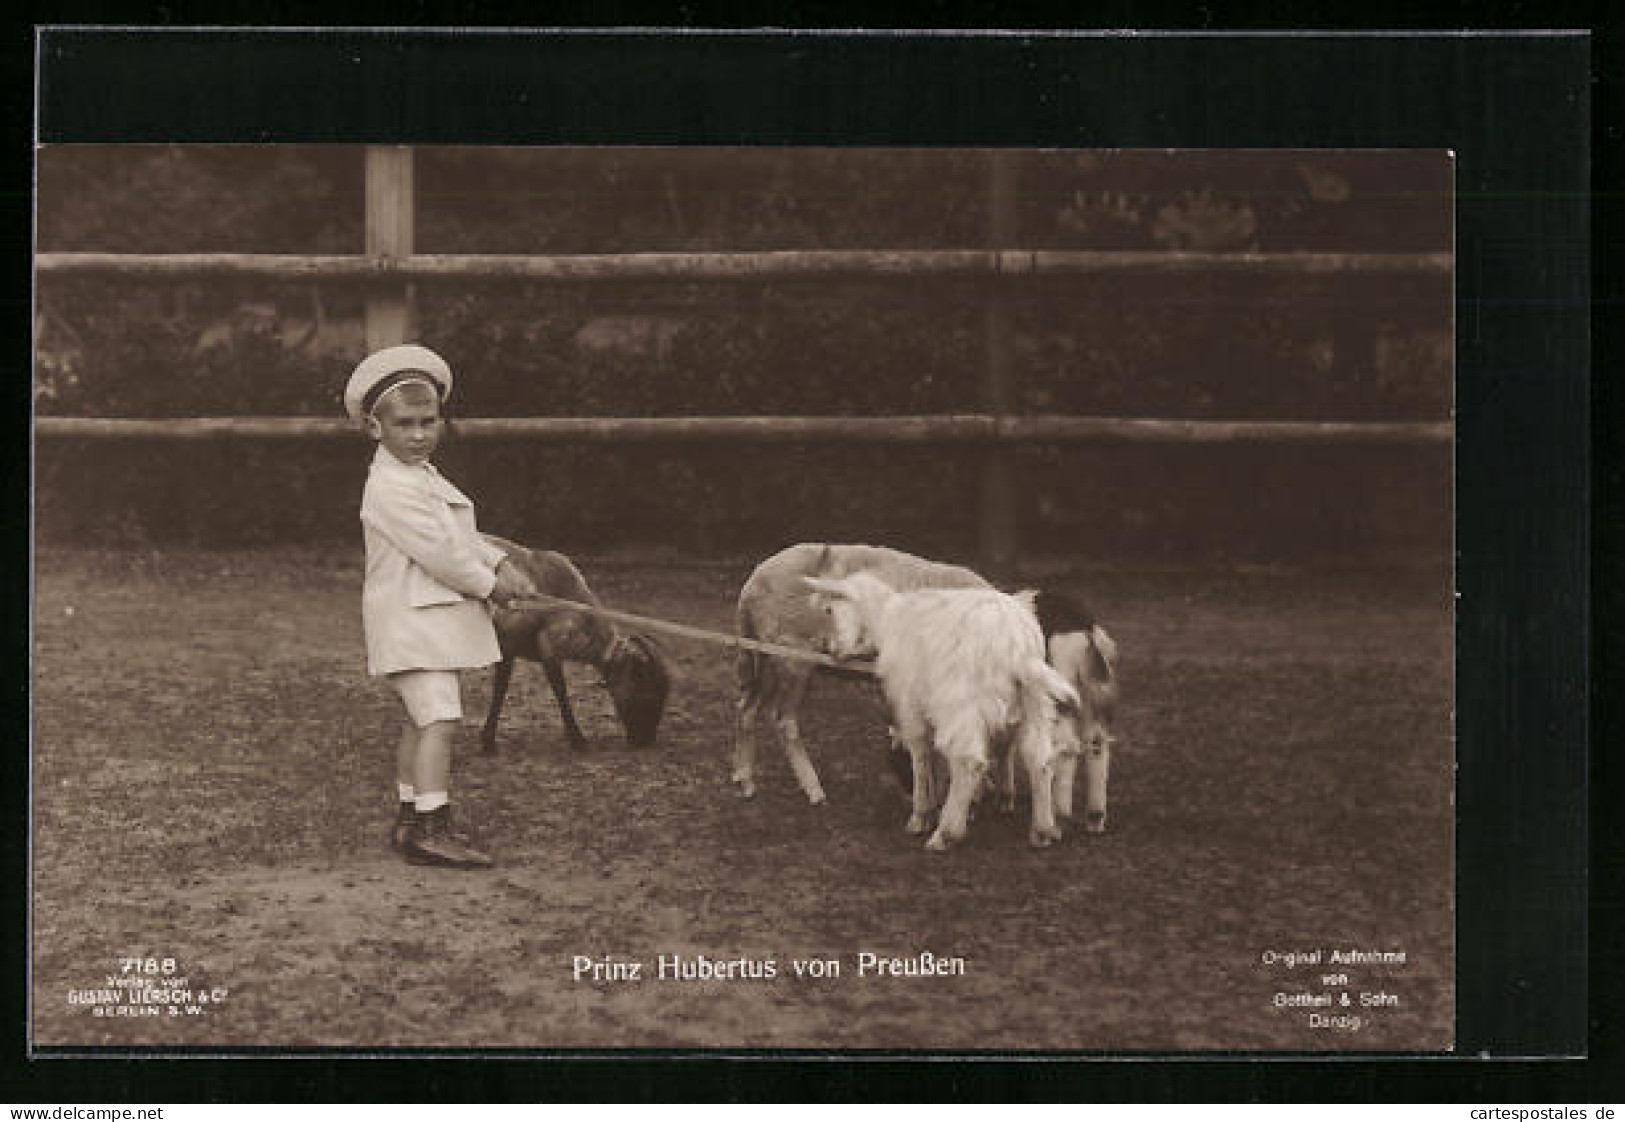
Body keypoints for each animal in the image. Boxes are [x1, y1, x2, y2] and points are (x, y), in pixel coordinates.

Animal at [802, 572, 1079, 852]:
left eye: (829, 610)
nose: (828, 649)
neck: (886, 618)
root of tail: (1017, 648)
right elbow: (938, 760)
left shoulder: (910, 705)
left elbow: (921, 755)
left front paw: (921, 814)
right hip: (1035, 702)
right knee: (1039, 759)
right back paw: (1042, 830)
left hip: (961, 702)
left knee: (969, 762)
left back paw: (945, 833)